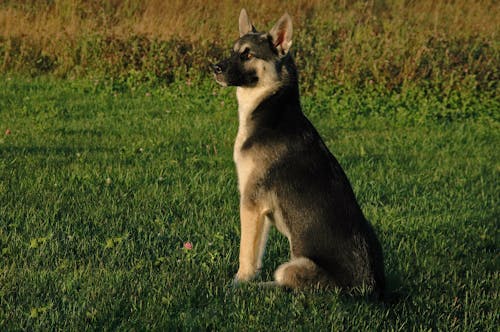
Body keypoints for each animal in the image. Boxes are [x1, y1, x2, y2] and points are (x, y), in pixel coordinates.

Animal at [213, 8, 384, 296]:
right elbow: (256, 254)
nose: (214, 68)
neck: (269, 105)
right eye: (233, 51)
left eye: (248, 54)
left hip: (293, 266)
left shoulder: (251, 202)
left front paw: (239, 283)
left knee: (286, 282)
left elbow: (245, 254)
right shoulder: (261, 214)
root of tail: (369, 288)